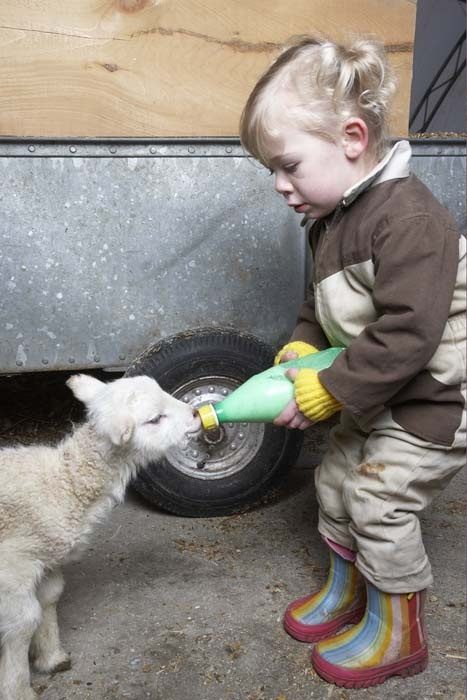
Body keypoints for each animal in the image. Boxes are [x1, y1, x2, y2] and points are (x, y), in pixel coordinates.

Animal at [0, 374, 199, 700]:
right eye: (155, 419)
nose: (196, 413)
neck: (65, 483)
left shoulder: (48, 557)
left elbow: (50, 599)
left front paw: (52, 657)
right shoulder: (12, 567)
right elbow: (23, 622)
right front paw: (17, 689)